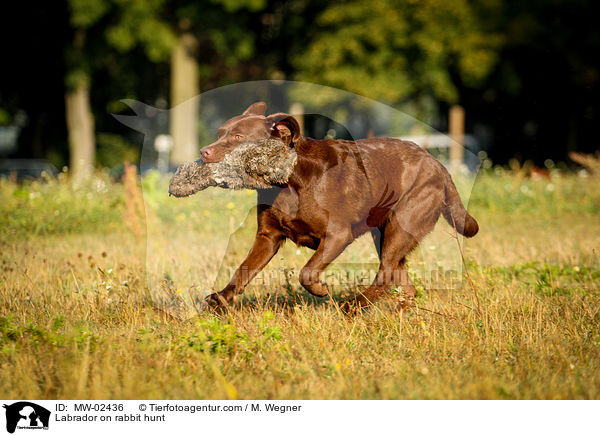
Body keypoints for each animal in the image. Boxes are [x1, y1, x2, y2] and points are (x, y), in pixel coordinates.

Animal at [195, 103, 476, 310]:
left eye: (238, 137)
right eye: (220, 133)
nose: (204, 152)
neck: (287, 182)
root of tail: (438, 165)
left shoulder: (338, 235)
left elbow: (307, 272)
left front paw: (321, 290)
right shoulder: (268, 236)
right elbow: (243, 269)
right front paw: (220, 298)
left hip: (402, 223)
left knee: (385, 273)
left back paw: (352, 306)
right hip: (385, 234)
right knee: (403, 282)